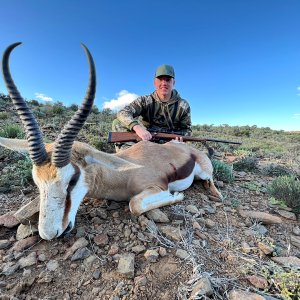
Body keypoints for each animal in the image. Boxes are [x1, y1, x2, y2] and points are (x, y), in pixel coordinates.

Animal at [0, 42, 223, 240]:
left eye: (72, 180)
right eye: (36, 181)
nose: (50, 234)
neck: (121, 175)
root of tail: (191, 150)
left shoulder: (156, 187)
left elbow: (134, 205)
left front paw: (177, 196)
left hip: (205, 172)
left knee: (210, 180)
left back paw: (215, 194)